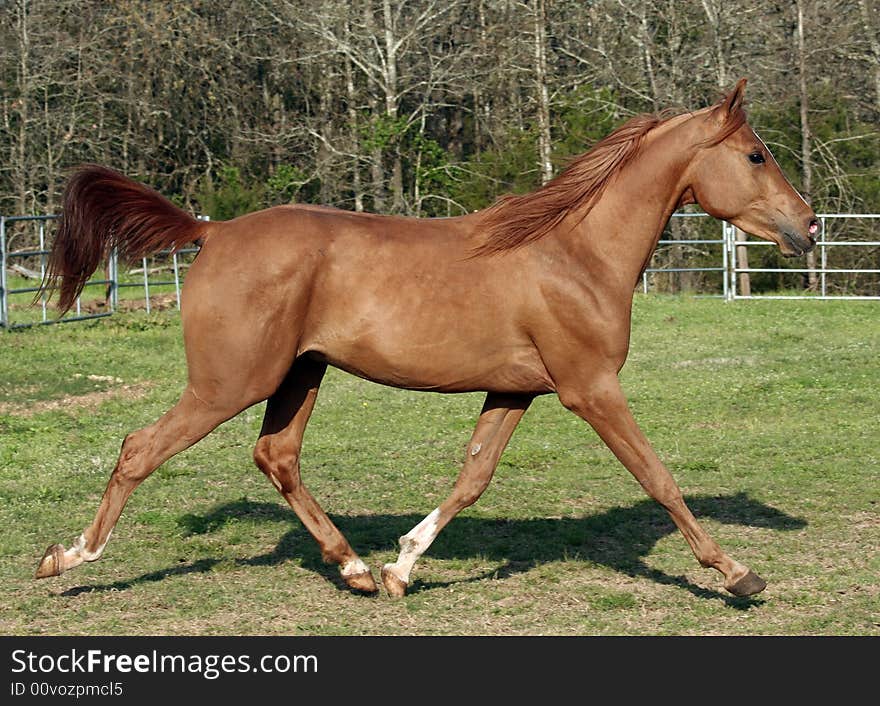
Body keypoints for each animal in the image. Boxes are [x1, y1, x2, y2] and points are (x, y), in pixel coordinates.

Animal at [36, 80, 820, 596]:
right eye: (756, 155)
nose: (808, 227)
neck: (574, 253)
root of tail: (213, 230)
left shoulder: (514, 392)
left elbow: (473, 479)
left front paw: (401, 566)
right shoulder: (591, 388)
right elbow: (658, 476)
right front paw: (738, 574)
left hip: (300, 374)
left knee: (276, 457)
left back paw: (354, 568)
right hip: (230, 381)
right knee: (140, 449)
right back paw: (69, 559)